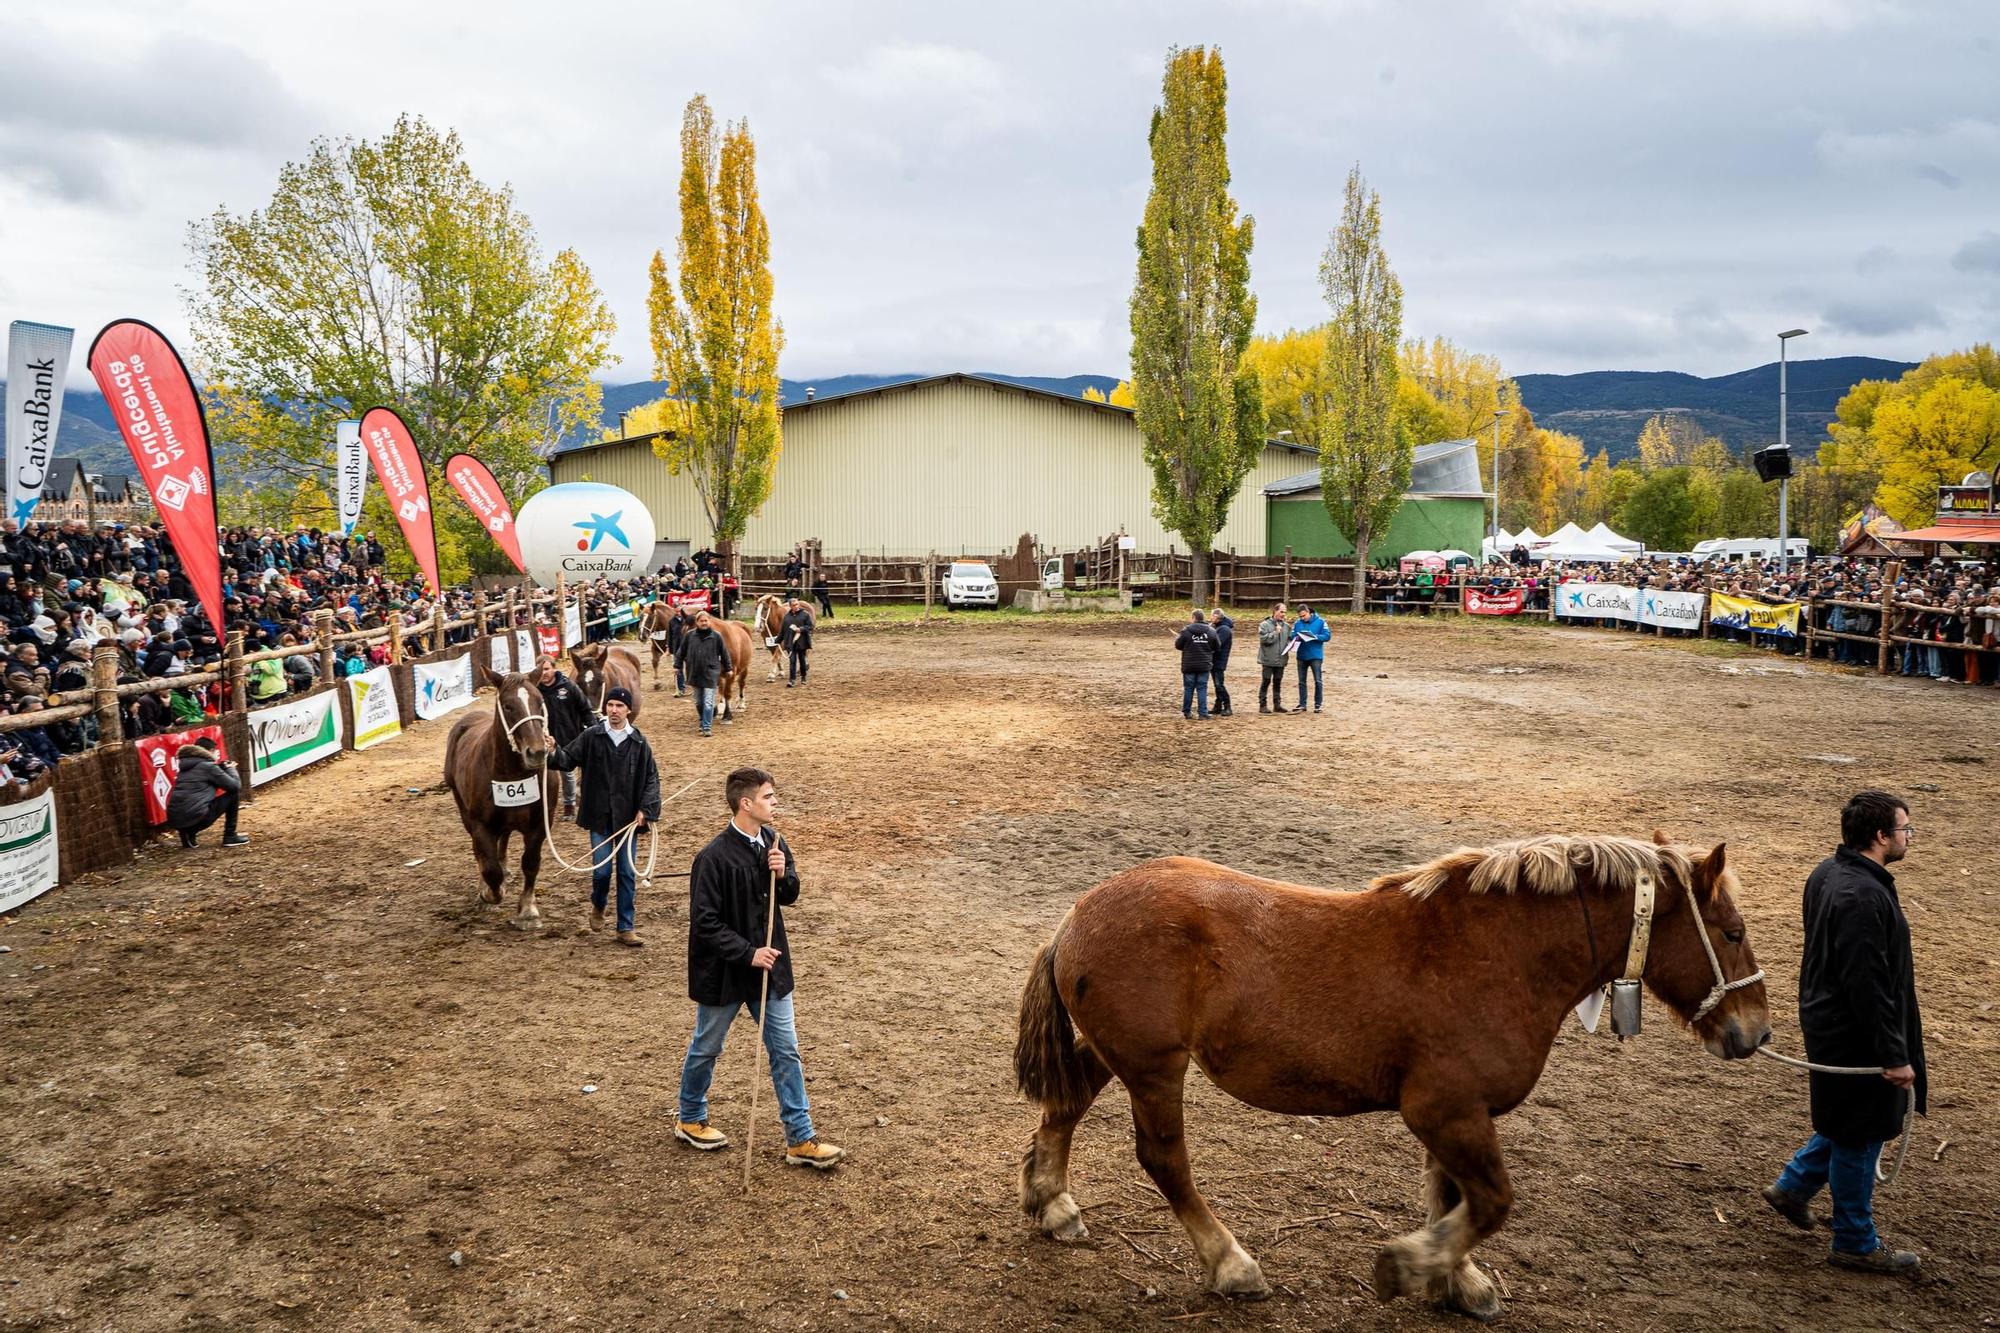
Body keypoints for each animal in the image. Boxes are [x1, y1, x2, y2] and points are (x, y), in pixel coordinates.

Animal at [444, 676, 560, 924]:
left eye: (540, 701)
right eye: (508, 706)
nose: (537, 752)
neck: (513, 774)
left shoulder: (540, 824)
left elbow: (531, 863)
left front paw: (527, 908)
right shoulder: (480, 824)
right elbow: (490, 868)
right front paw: (488, 893)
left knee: (503, 840)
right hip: (463, 810)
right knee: (481, 852)